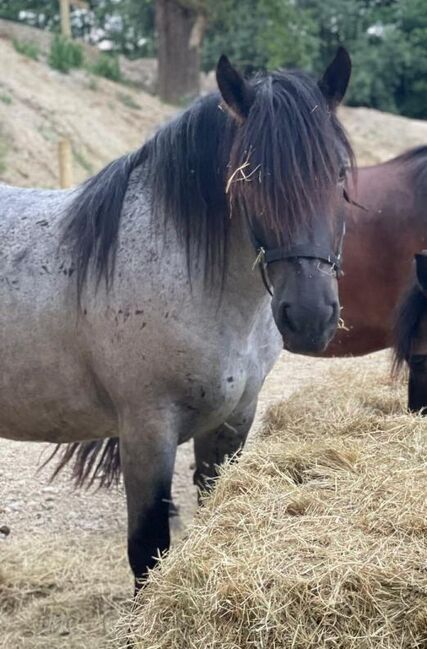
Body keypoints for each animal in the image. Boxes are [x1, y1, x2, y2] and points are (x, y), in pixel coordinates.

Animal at [0, 49, 354, 588]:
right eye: (247, 178)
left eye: (337, 174)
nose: (310, 317)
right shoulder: (148, 432)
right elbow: (148, 551)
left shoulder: (231, 424)